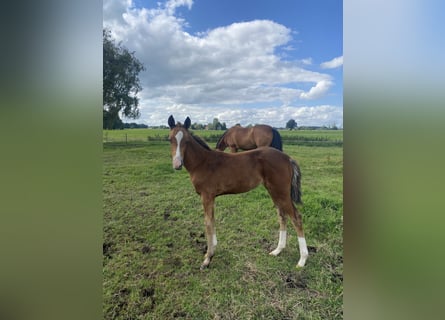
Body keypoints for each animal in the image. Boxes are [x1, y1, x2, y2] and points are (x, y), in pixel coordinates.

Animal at [167, 115, 308, 270]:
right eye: (170, 139)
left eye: (186, 140)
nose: (177, 164)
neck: (202, 162)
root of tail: (287, 158)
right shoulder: (211, 197)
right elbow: (212, 220)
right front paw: (212, 250)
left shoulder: (206, 196)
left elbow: (208, 223)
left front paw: (207, 258)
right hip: (274, 191)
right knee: (282, 216)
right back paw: (277, 250)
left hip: (281, 192)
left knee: (296, 217)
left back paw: (302, 260)